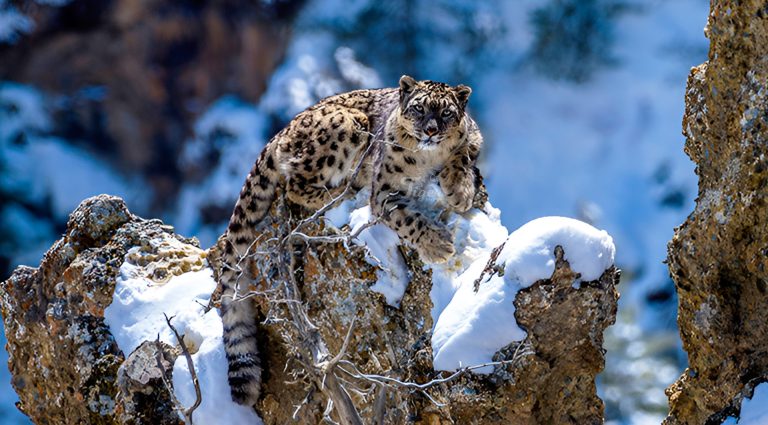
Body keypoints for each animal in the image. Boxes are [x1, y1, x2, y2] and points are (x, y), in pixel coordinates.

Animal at [218, 75, 484, 407]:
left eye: (447, 112)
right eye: (419, 108)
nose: (431, 130)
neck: (427, 158)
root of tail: (282, 130)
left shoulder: (473, 138)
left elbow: (463, 153)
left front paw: (459, 190)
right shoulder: (384, 192)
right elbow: (407, 220)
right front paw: (438, 245)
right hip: (347, 124)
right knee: (295, 185)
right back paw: (343, 190)